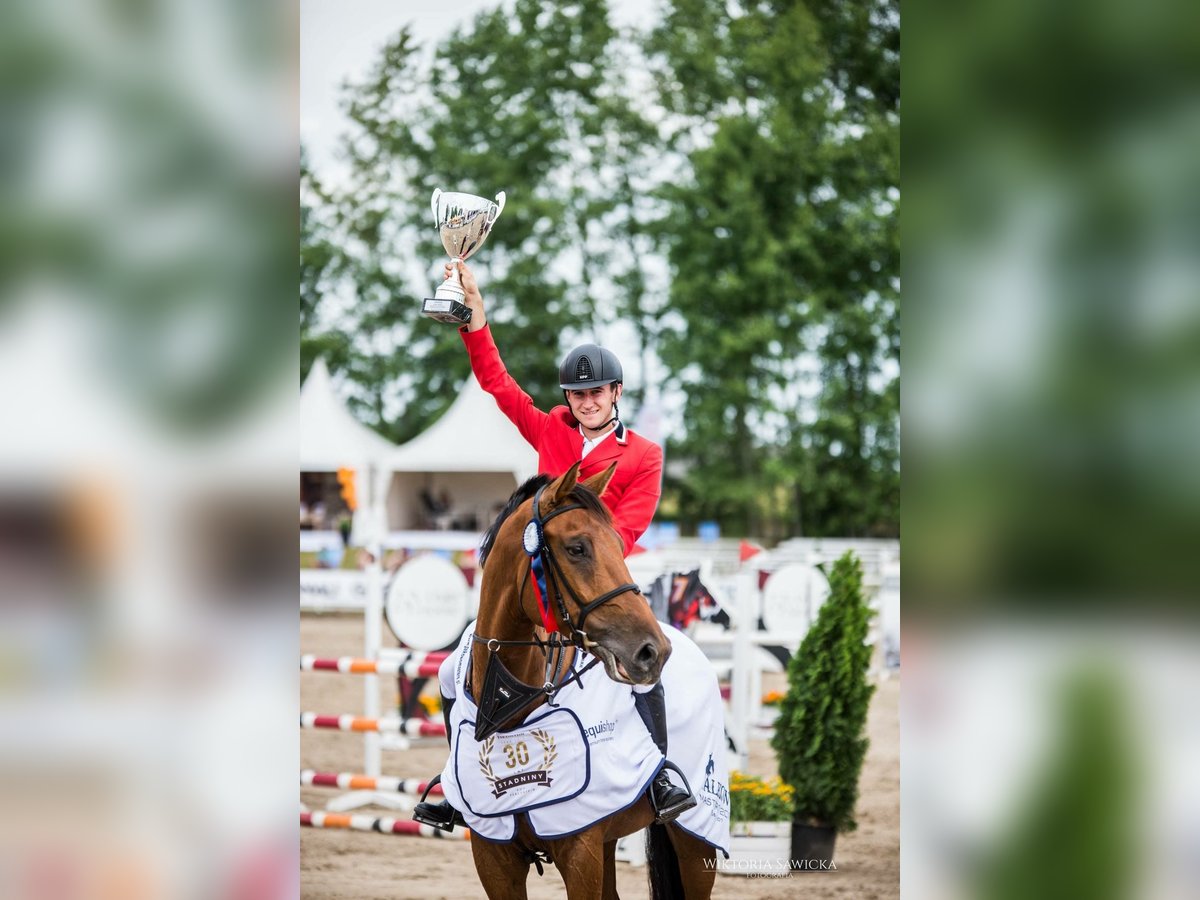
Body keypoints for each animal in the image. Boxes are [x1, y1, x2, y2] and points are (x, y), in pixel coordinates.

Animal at [463, 465, 715, 900]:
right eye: (577, 548)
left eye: (619, 544)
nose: (653, 651)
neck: (509, 705)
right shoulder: (494, 860)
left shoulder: (582, 854)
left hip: (697, 841)